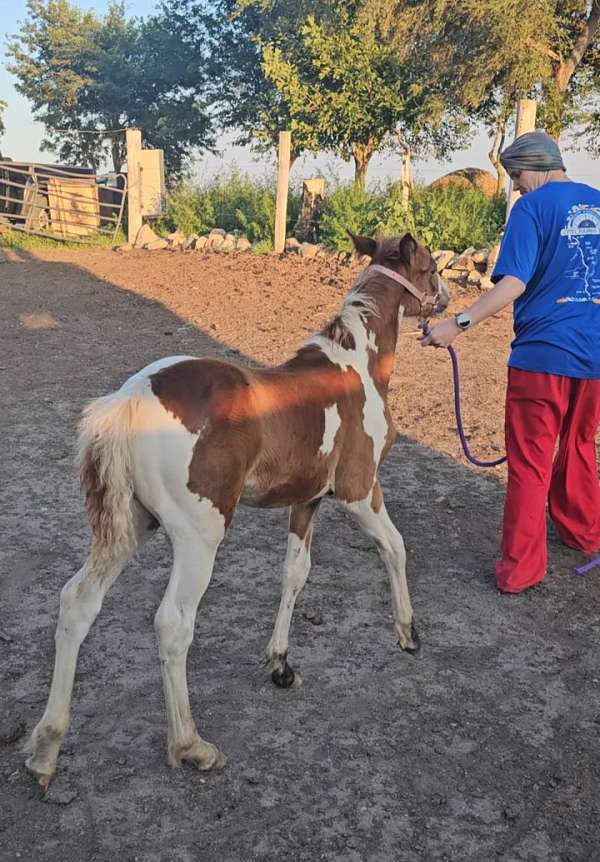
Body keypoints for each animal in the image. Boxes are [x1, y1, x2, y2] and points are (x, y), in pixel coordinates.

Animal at [25, 233, 448, 788]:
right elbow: (395, 548)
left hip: (130, 525)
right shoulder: (359, 491)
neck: (356, 367)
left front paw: (280, 665)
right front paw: (408, 633)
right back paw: (191, 746)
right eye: (431, 266)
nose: (446, 301)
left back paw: (46, 748)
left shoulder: (306, 501)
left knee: (77, 602)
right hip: (199, 536)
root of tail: (129, 400)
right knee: (173, 623)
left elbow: (295, 574)